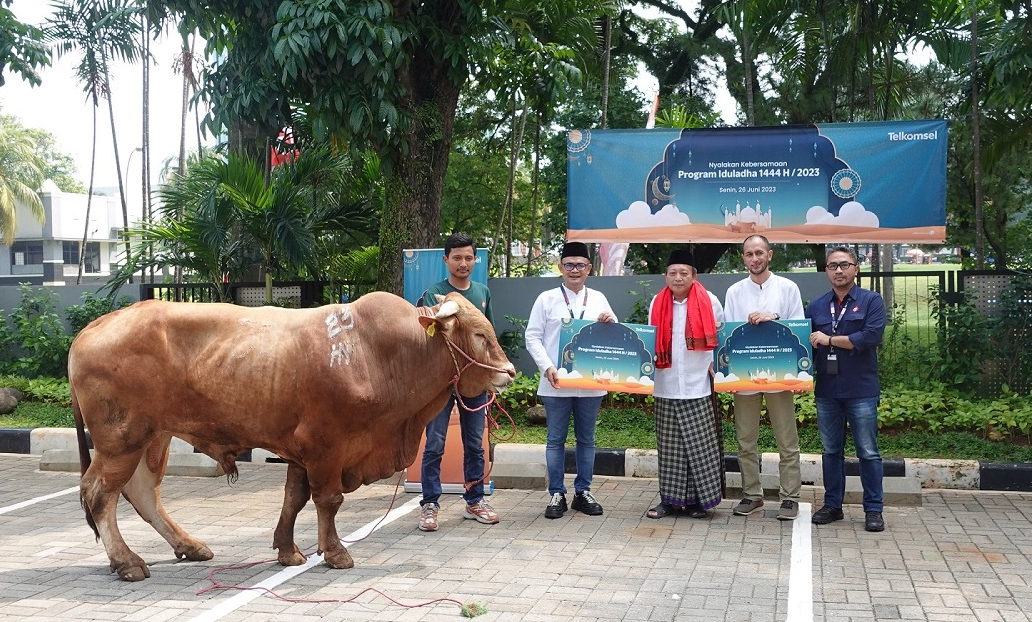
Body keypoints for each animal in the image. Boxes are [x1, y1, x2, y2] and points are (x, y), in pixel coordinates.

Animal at [67, 295, 511, 581]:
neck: (376, 354)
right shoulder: (326, 444)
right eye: (478, 334)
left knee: (141, 492)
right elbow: (328, 500)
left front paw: (287, 550)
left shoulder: (301, 451)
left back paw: (188, 546)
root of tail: (96, 324)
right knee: (100, 494)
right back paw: (126, 561)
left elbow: (294, 498)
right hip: (121, 440)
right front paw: (335, 552)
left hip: (152, 438)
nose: (508, 372)